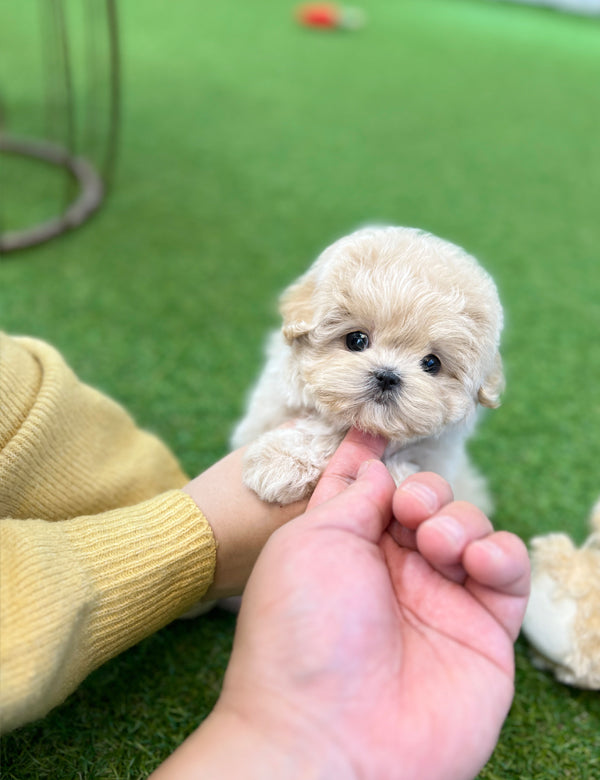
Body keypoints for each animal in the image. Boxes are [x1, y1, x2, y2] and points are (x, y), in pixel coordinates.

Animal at [232, 224, 504, 512]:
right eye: (357, 340)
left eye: (431, 363)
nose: (387, 377)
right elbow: (321, 426)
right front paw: (282, 463)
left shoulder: (438, 454)